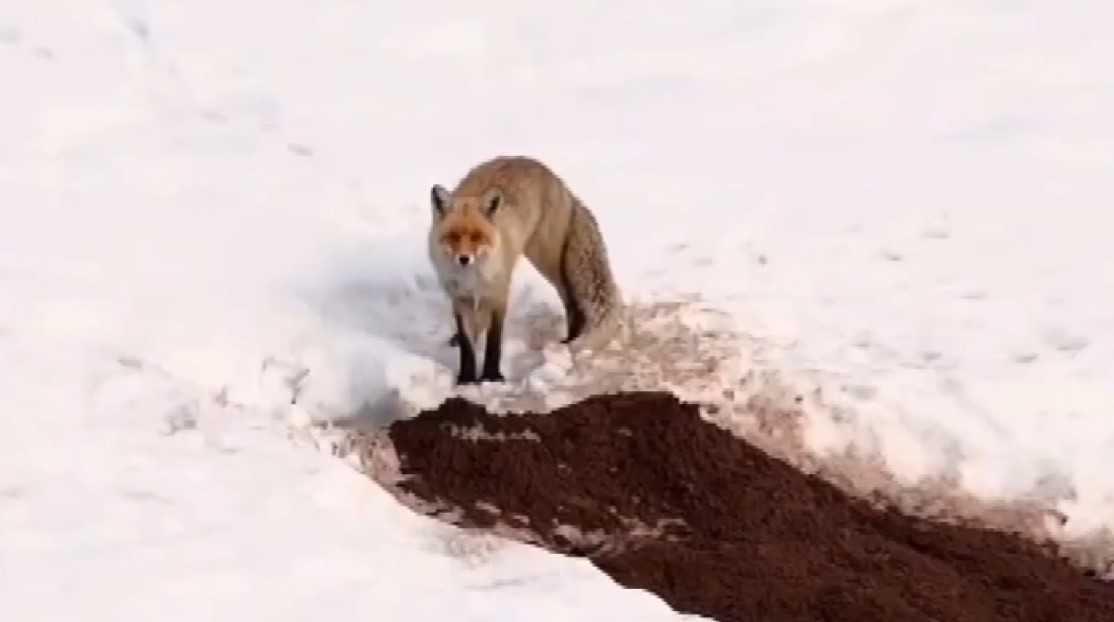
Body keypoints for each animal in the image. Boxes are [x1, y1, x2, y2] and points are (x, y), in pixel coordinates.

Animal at [425, 156, 623, 385]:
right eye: (453, 236)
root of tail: (557, 179)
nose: (464, 259)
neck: (472, 277)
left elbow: (494, 340)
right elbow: (467, 344)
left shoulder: (499, 294)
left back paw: (569, 339)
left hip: (546, 260)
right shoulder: (460, 298)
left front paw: (491, 377)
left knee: (571, 300)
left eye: (477, 237)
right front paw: (466, 378)